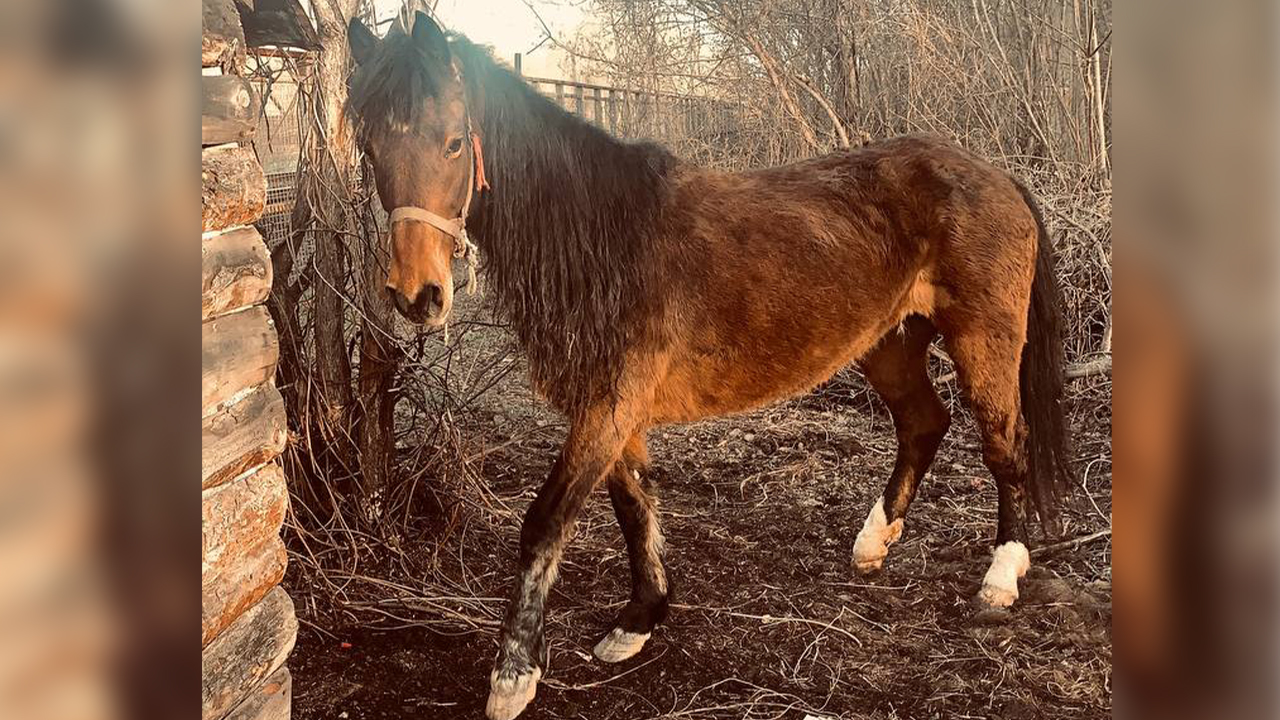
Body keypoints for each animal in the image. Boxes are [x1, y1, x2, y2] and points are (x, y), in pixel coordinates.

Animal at [345, 13, 1073, 720]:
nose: (417, 295)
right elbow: (633, 501)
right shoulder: (611, 410)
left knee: (1005, 444)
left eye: (451, 143)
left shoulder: (609, 406)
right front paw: (639, 620)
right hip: (890, 343)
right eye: (372, 150)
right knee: (924, 423)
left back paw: (1001, 576)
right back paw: (874, 544)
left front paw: (513, 676)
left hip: (985, 342)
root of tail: (994, 174)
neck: (604, 239)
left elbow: (546, 522)